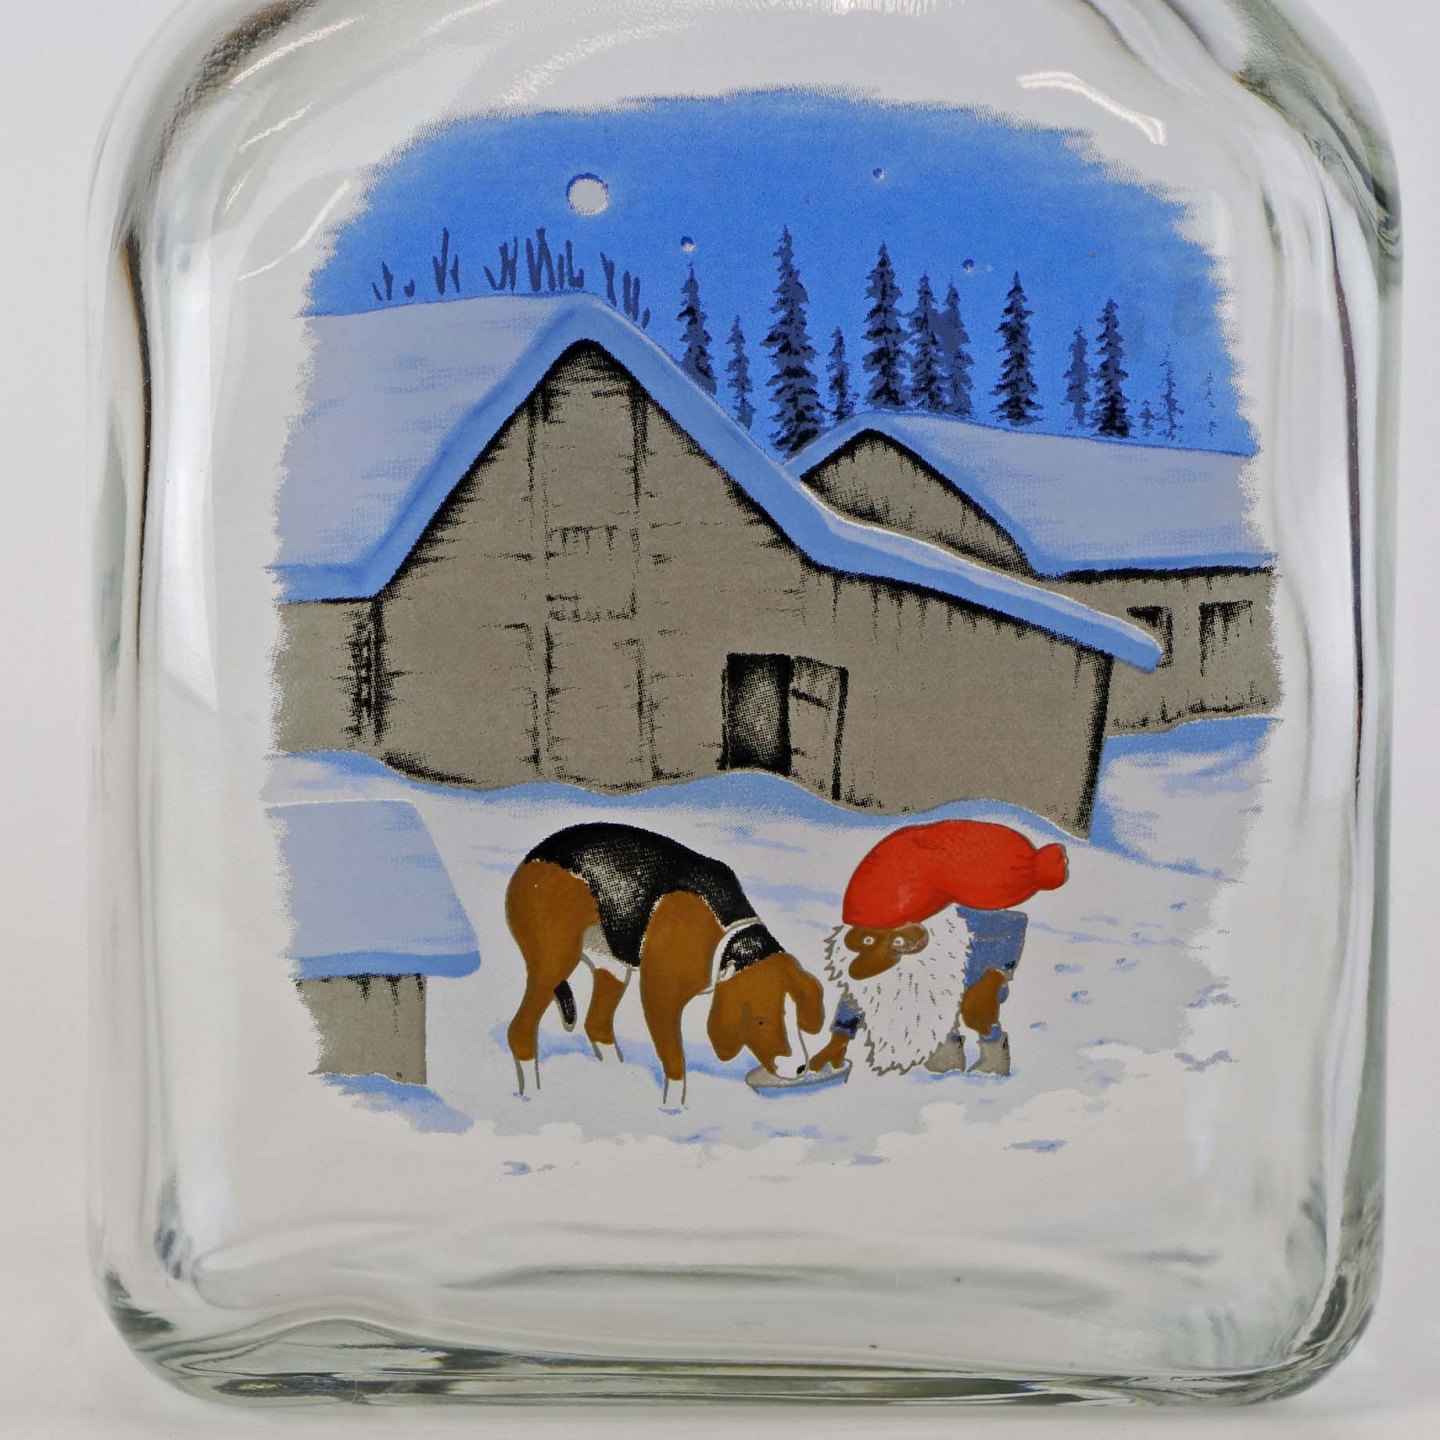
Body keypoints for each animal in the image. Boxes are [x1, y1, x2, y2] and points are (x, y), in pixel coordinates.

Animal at [505, 823, 825, 1103]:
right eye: (760, 1021)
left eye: (796, 1013)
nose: (799, 1068)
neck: (733, 940)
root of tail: (535, 854)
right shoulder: (660, 997)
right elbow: (675, 1064)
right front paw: (673, 1109)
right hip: (556, 960)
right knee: (520, 1031)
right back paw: (532, 1096)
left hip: (612, 965)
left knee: (596, 1025)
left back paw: (618, 1079)